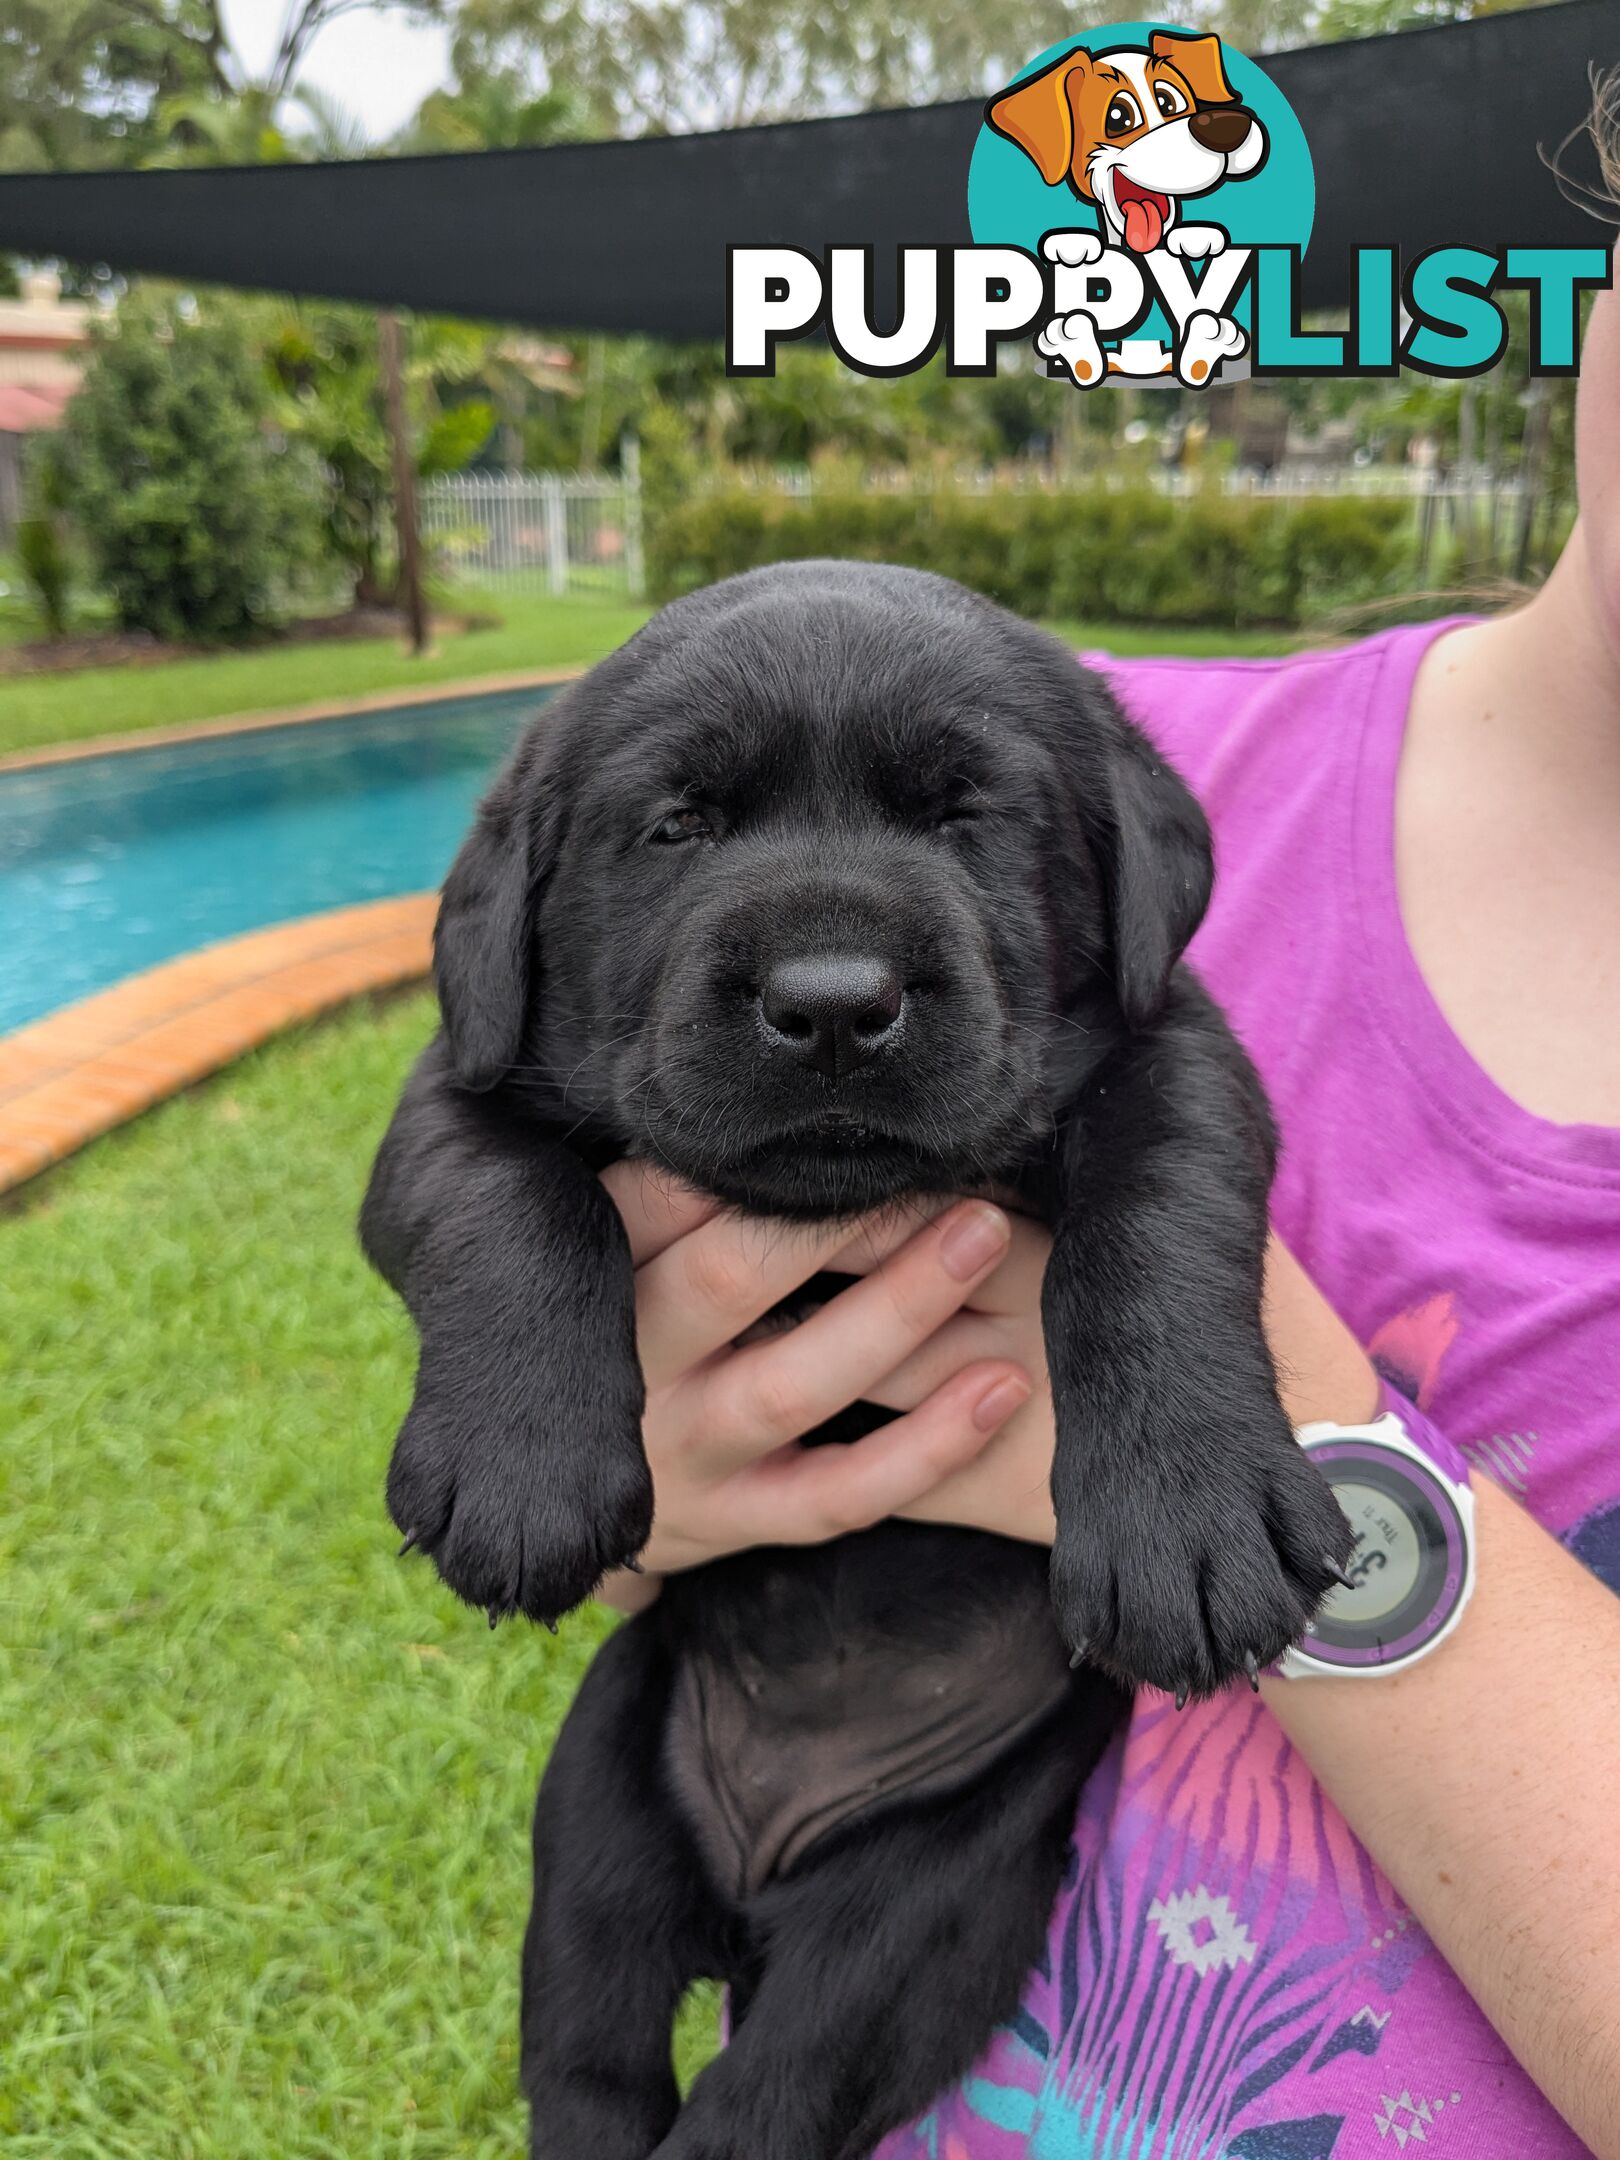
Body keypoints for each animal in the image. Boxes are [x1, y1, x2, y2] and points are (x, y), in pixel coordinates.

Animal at [358, 561, 1356, 2160]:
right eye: (677, 825)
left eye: (967, 815)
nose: (831, 1001)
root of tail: (755, 1878)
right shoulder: (458, 1076)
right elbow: (504, 1195)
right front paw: (522, 1475)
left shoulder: (1174, 1043)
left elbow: (1165, 1198)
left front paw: (1191, 1513)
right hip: (599, 1806)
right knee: (591, 2058)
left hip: (924, 1911)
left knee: (771, 2094)